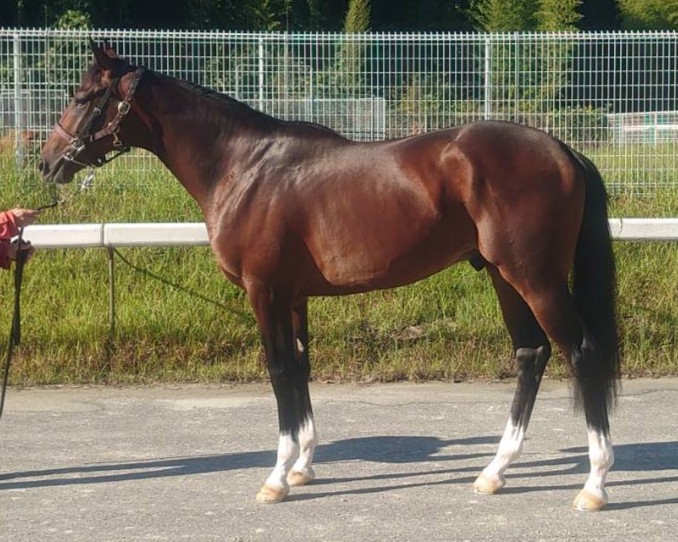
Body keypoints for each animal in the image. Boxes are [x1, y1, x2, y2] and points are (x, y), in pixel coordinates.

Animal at [39, 40, 620, 510]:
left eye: (83, 96)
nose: (47, 161)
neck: (244, 168)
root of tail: (564, 151)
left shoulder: (265, 293)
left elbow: (278, 372)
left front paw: (275, 479)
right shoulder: (293, 297)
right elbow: (300, 369)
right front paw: (302, 467)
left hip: (535, 278)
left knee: (581, 353)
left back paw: (593, 484)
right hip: (503, 276)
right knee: (532, 354)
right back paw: (494, 472)